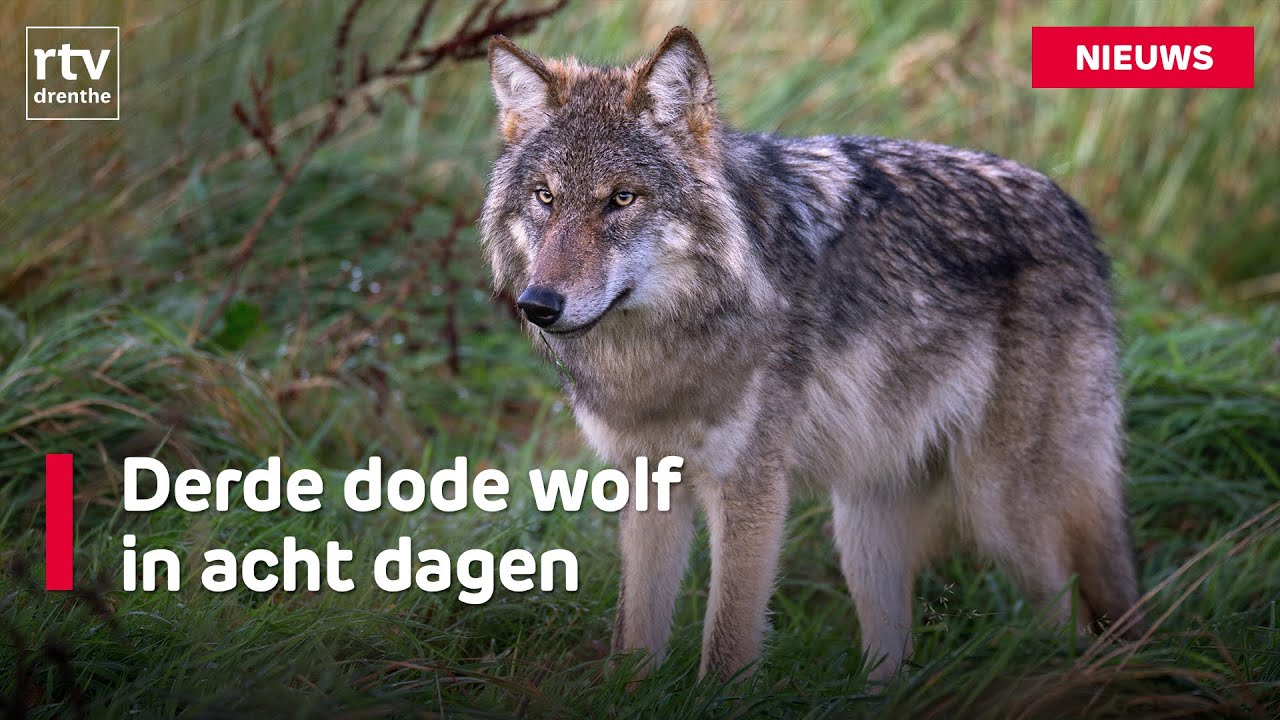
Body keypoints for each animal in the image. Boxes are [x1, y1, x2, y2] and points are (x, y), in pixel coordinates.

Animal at [479, 27, 1146, 683]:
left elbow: (727, 646)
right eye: (545, 196)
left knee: (1076, 623)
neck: (655, 356)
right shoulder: (648, 483)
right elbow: (635, 641)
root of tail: (1071, 210)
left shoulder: (751, 485)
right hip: (865, 523)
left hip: (1000, 510)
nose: (538, 304)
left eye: (621, 199)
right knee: (894, 661)